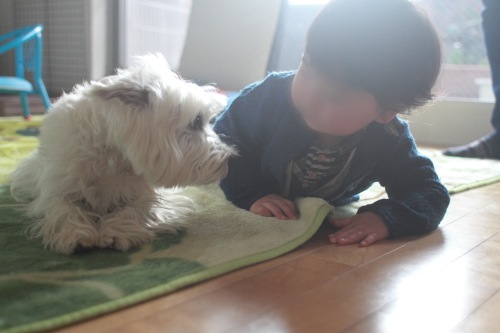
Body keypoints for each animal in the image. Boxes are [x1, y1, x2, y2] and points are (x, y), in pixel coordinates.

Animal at [9, 53, 232, 253]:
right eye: (196, 121)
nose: (229, 159)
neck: (111, 156)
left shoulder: (146, 192)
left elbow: (139, 207)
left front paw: (117, 231)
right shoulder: (56, 190)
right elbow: (64, 208)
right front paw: (76, 233)